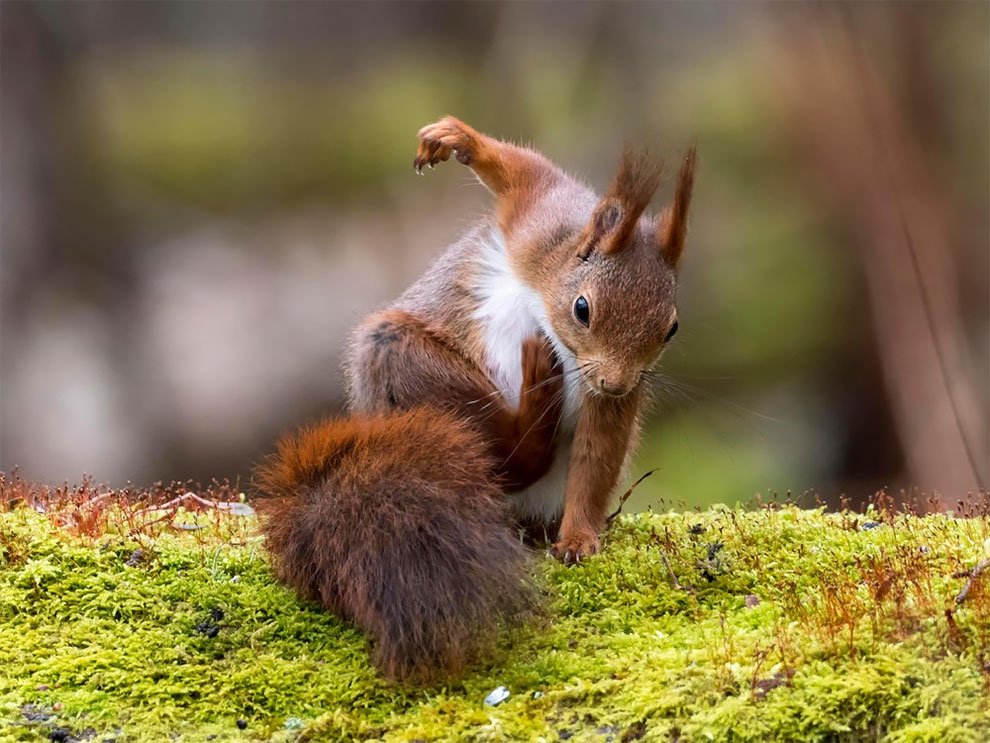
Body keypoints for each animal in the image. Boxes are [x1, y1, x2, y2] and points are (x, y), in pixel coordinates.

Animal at [260, 117, 700, 684]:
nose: (617, 383)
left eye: (671, 328)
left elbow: (596, 457)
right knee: (508, 455)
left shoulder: (607, 399)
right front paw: (455, 140)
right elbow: (522, 172)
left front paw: (579, 539)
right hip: (402, 359)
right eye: (582, 309)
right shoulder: (539, 221)